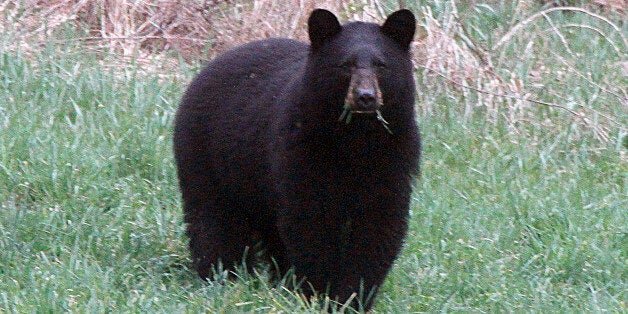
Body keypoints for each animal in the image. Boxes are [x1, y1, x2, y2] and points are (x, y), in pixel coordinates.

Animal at [174, 8, 422, 310]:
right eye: (345, 65)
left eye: (381, 65)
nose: (365, 97)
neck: (355, 139)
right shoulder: (302, 152)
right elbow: (309, 223)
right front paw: (317, 293)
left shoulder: (393, 157)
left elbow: (378, 228)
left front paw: (353, 298)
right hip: (207, 153)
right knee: (213, 219)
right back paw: (222, 274)